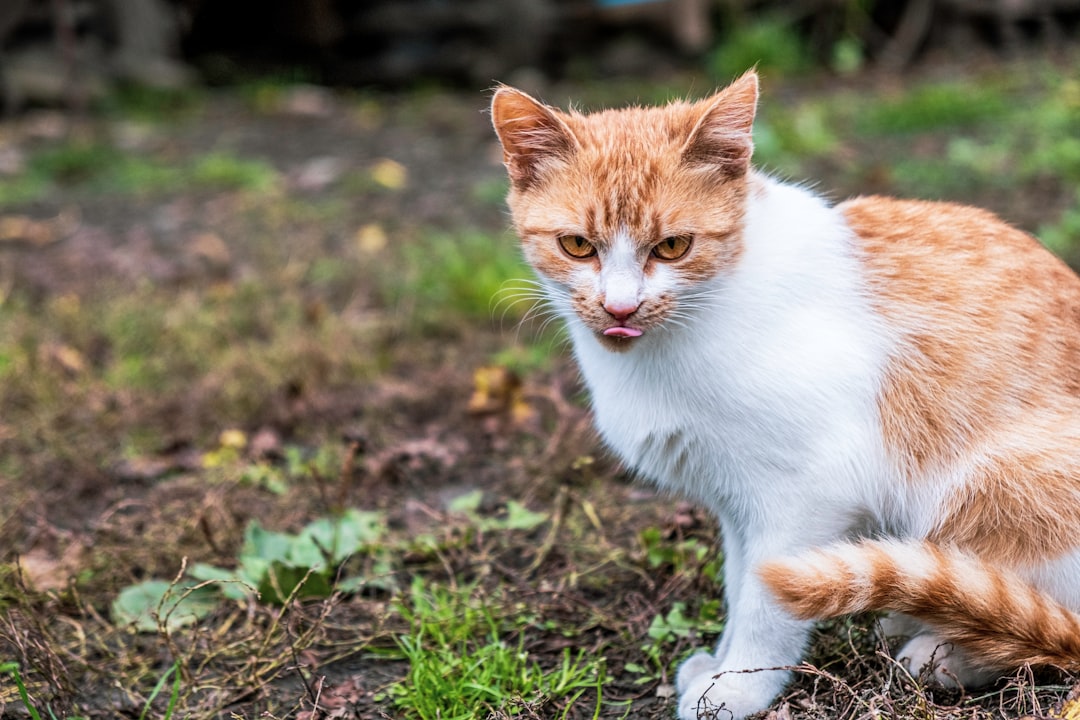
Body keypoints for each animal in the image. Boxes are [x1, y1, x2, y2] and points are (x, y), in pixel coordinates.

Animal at [490, 69, 1080, 720]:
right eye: (576, 245)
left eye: (672, 247)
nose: (620, 308)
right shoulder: (734, 500)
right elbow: (737, 582)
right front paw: (720, 665)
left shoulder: (807, 492)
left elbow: (766, 600)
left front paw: (737, 688)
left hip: (996, 483)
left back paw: (948, 651)